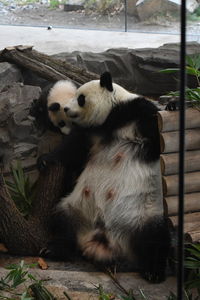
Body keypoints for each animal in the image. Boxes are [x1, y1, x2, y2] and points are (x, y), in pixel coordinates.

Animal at [39, 71, 171, 282]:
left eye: (80, 98)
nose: (66, 108)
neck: (113, 117)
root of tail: (105, 240)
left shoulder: (138, 113)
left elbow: (158, 135)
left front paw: (174, 105)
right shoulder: (91, 132)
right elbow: (72, 148)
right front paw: (46, 160)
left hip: (145, 214)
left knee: (155, 237)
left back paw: (153, 272)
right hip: (75, 208)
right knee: (62, 222)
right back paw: (54, 249)